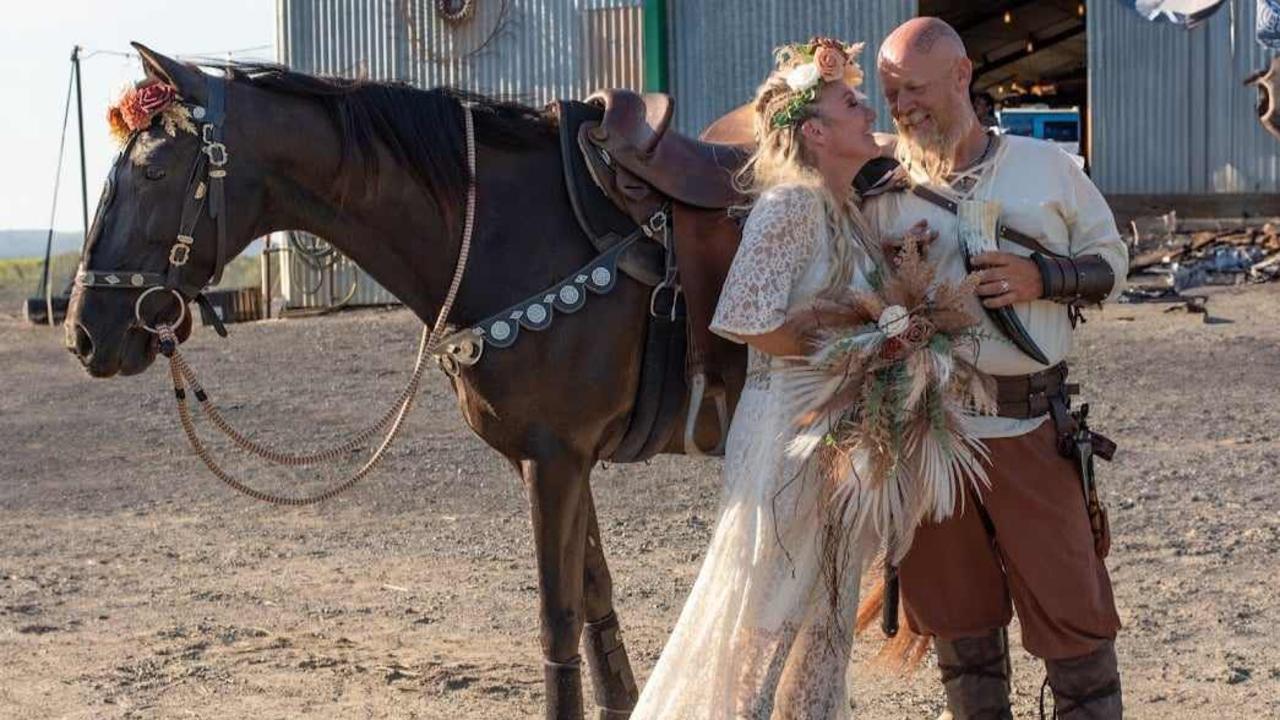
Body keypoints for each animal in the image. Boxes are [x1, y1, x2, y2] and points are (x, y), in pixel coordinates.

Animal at [67, 44, 711, 717]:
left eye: (153, 172)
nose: (82, 332)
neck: (515, 230)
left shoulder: (556, 457)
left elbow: (557, 621)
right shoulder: (556, 459)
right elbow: (595, 599)